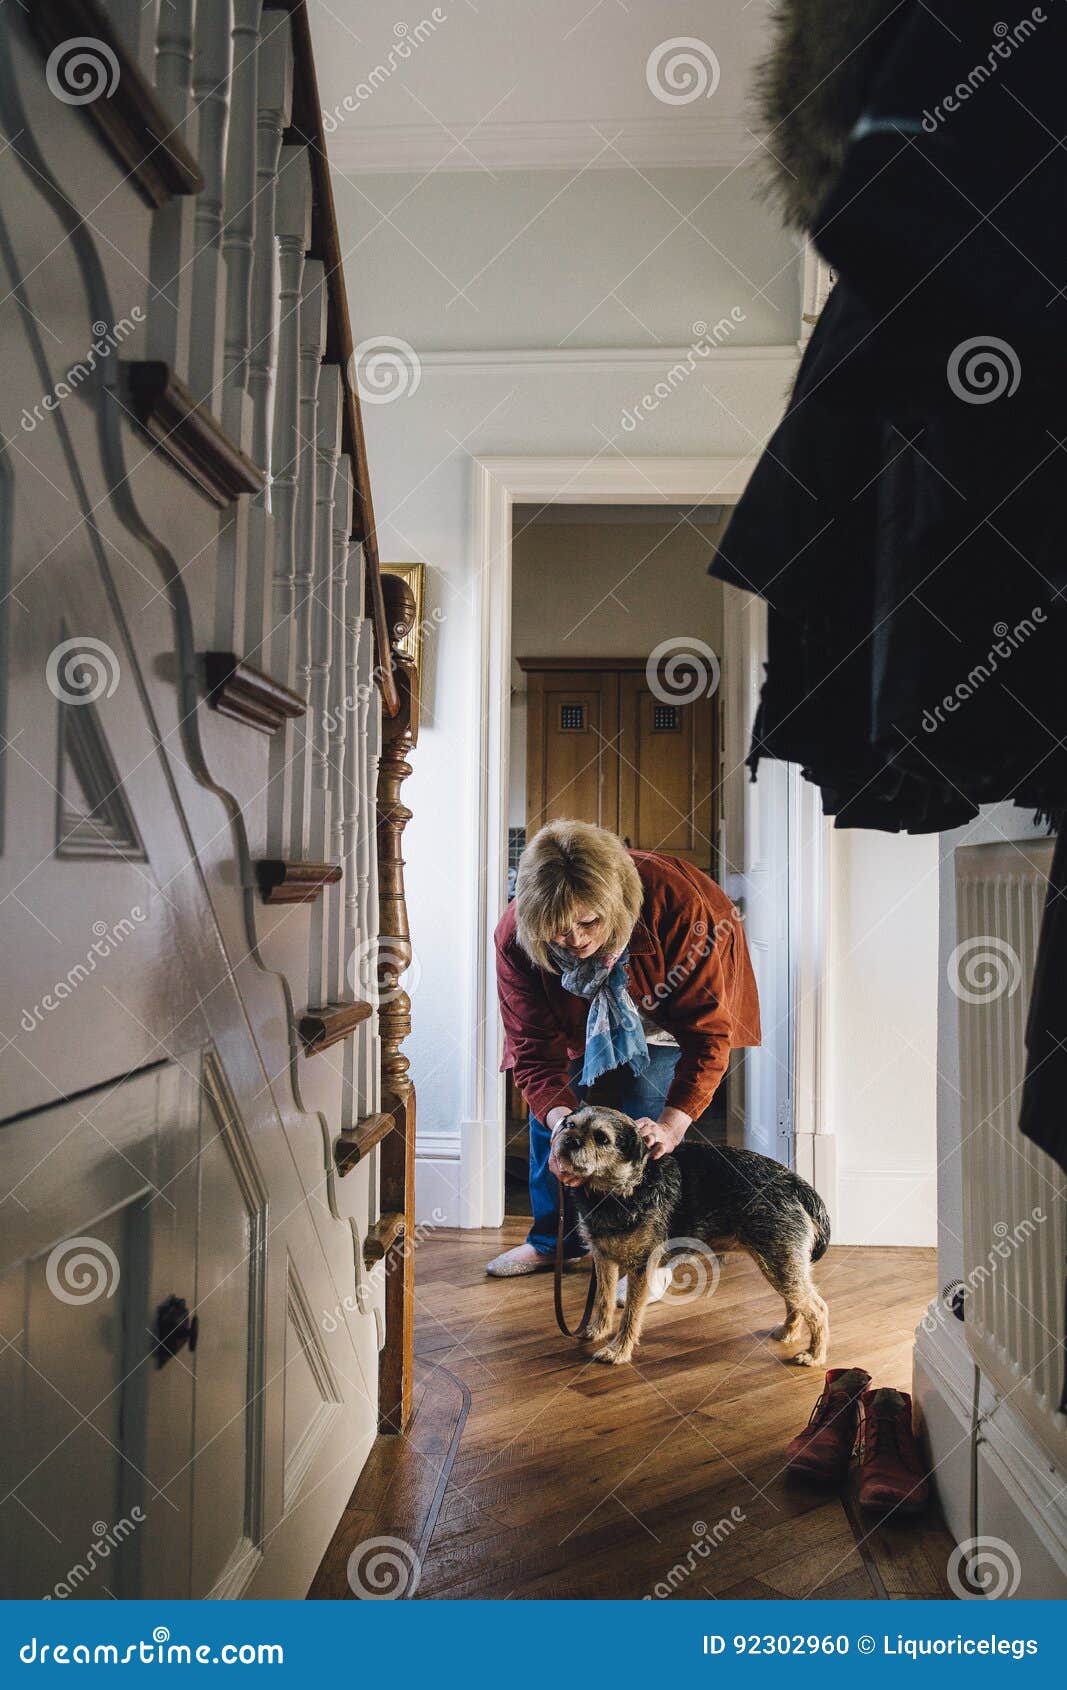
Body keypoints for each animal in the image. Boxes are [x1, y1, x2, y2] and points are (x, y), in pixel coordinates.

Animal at [554, 1101, 831, 1365]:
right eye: (569, 1125)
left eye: (602, 1138)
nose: (570, 1140)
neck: (621, 1190)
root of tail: (795, 1183)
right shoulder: (603, 1258)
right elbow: (603, 1299)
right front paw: (597, 1330)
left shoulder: (641, 1267)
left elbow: (631, 1314)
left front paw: (619, 1350)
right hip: (782, 1266)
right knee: (796, 1302)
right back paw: (788, 1332)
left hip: (779, 1263)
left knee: (817, 1308)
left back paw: (814, 1355)